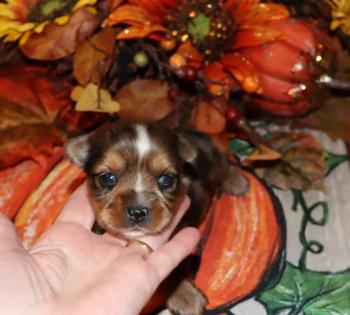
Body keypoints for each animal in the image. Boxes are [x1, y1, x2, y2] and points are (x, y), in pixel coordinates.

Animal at [63, 121, 249, 315]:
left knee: (226, 165)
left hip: (214, 161)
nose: (137, 212)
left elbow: (179, 265)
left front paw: (186, 297)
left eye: (166, 179)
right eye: (108, 178)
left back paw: (236, 182)